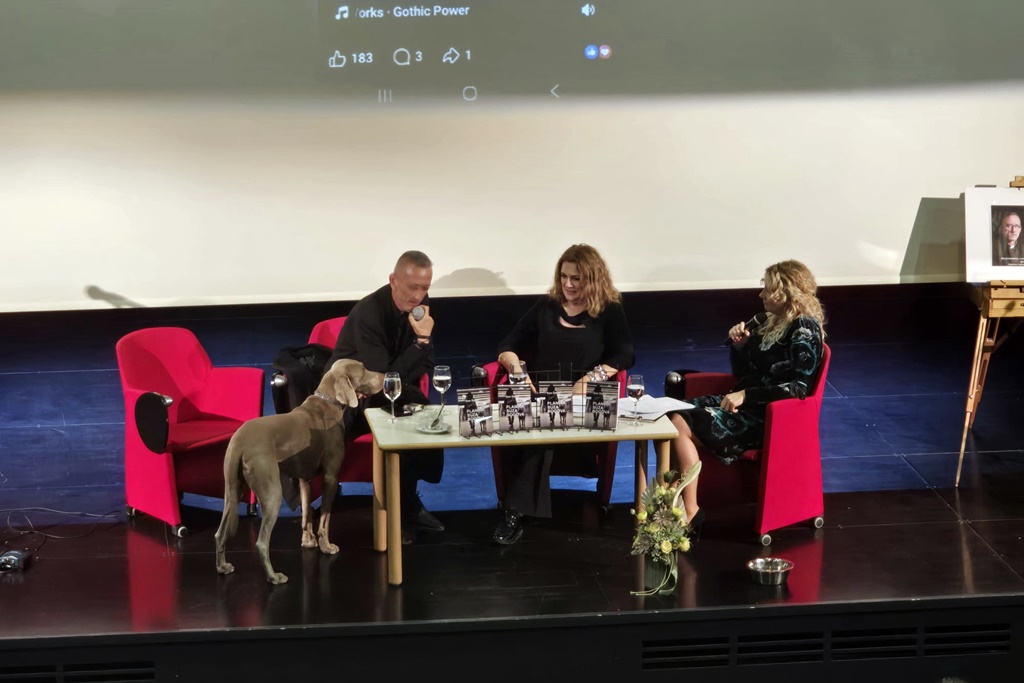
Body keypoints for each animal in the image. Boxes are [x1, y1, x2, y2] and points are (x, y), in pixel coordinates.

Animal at [215, 359, 383, 584]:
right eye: (363, 370)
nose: (385, 376)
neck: (328, 401)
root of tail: (239, 441)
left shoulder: (304, 478)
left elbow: (306, 514)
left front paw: (308, 541)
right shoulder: (331, 477)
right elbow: (325, 517)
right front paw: (326, 546)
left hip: (231, 490)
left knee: (220, 533)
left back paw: (223, 567)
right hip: (271, 492)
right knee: (261, 542)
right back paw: (274, 577)